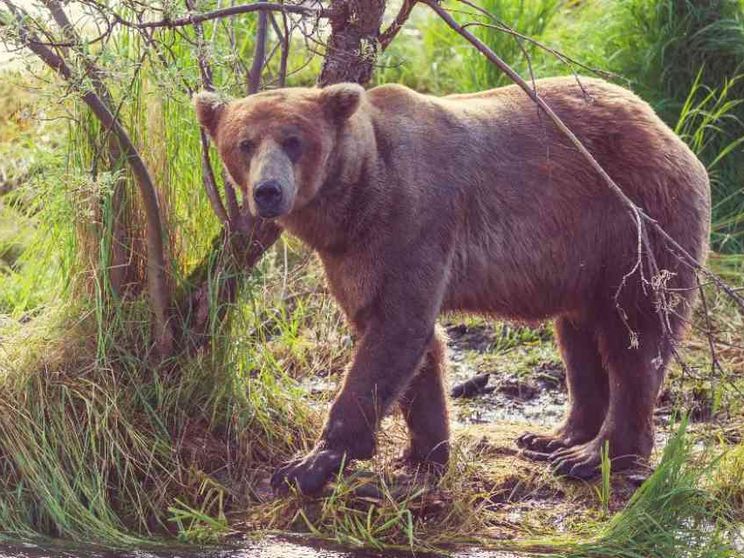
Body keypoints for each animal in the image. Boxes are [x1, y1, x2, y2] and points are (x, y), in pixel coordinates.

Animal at [194, 77, 710, 495]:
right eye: (244, 143)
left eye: (293, 140)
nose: (268, 191)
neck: (356, 196)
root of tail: (667, 129)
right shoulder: (352, 256)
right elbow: (406, 341)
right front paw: (423, 456)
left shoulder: (414, 220)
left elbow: (395, 331)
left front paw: (307, 464)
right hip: (581, 258)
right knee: (579, 338)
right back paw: (554, 437)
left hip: (633, 222)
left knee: (634, 336)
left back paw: (593, 455)